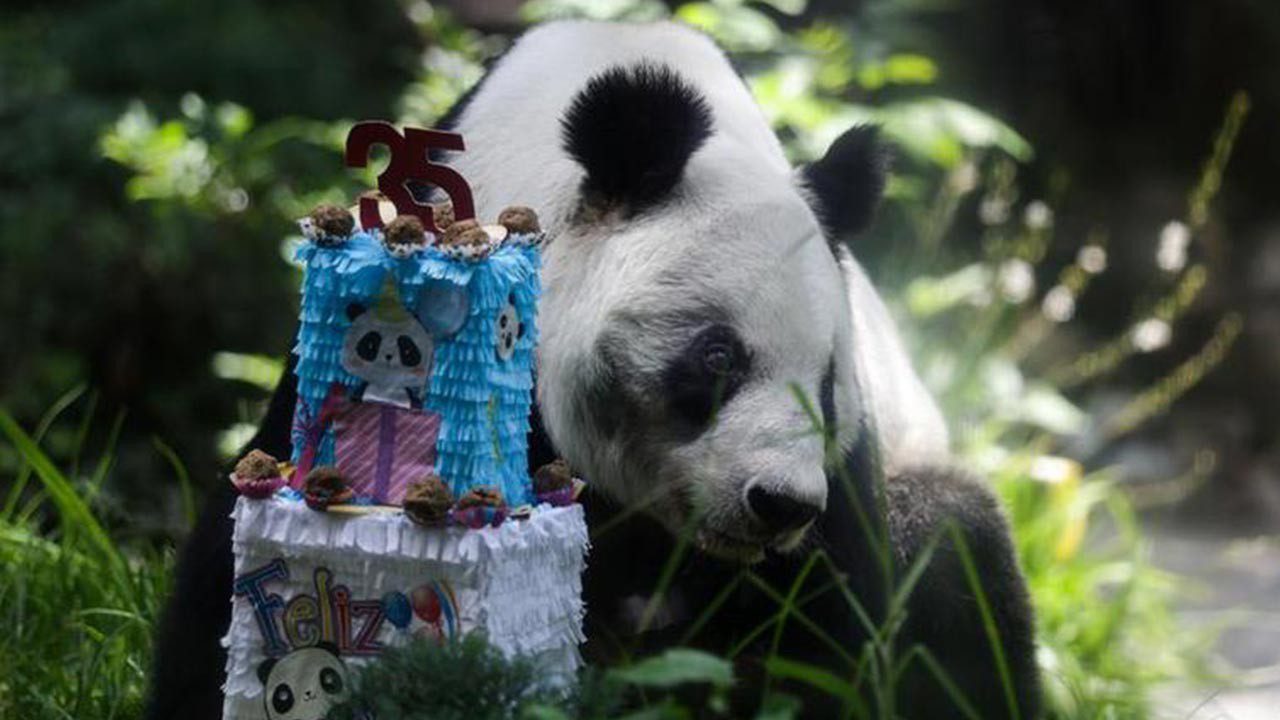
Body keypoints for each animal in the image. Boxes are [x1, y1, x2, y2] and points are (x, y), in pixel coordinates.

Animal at [146, 20, 1039, 720]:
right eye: (717, 357)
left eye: (824, 386)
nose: (780, 504)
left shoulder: (847, 480)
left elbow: (837, 638)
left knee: (958, 554)